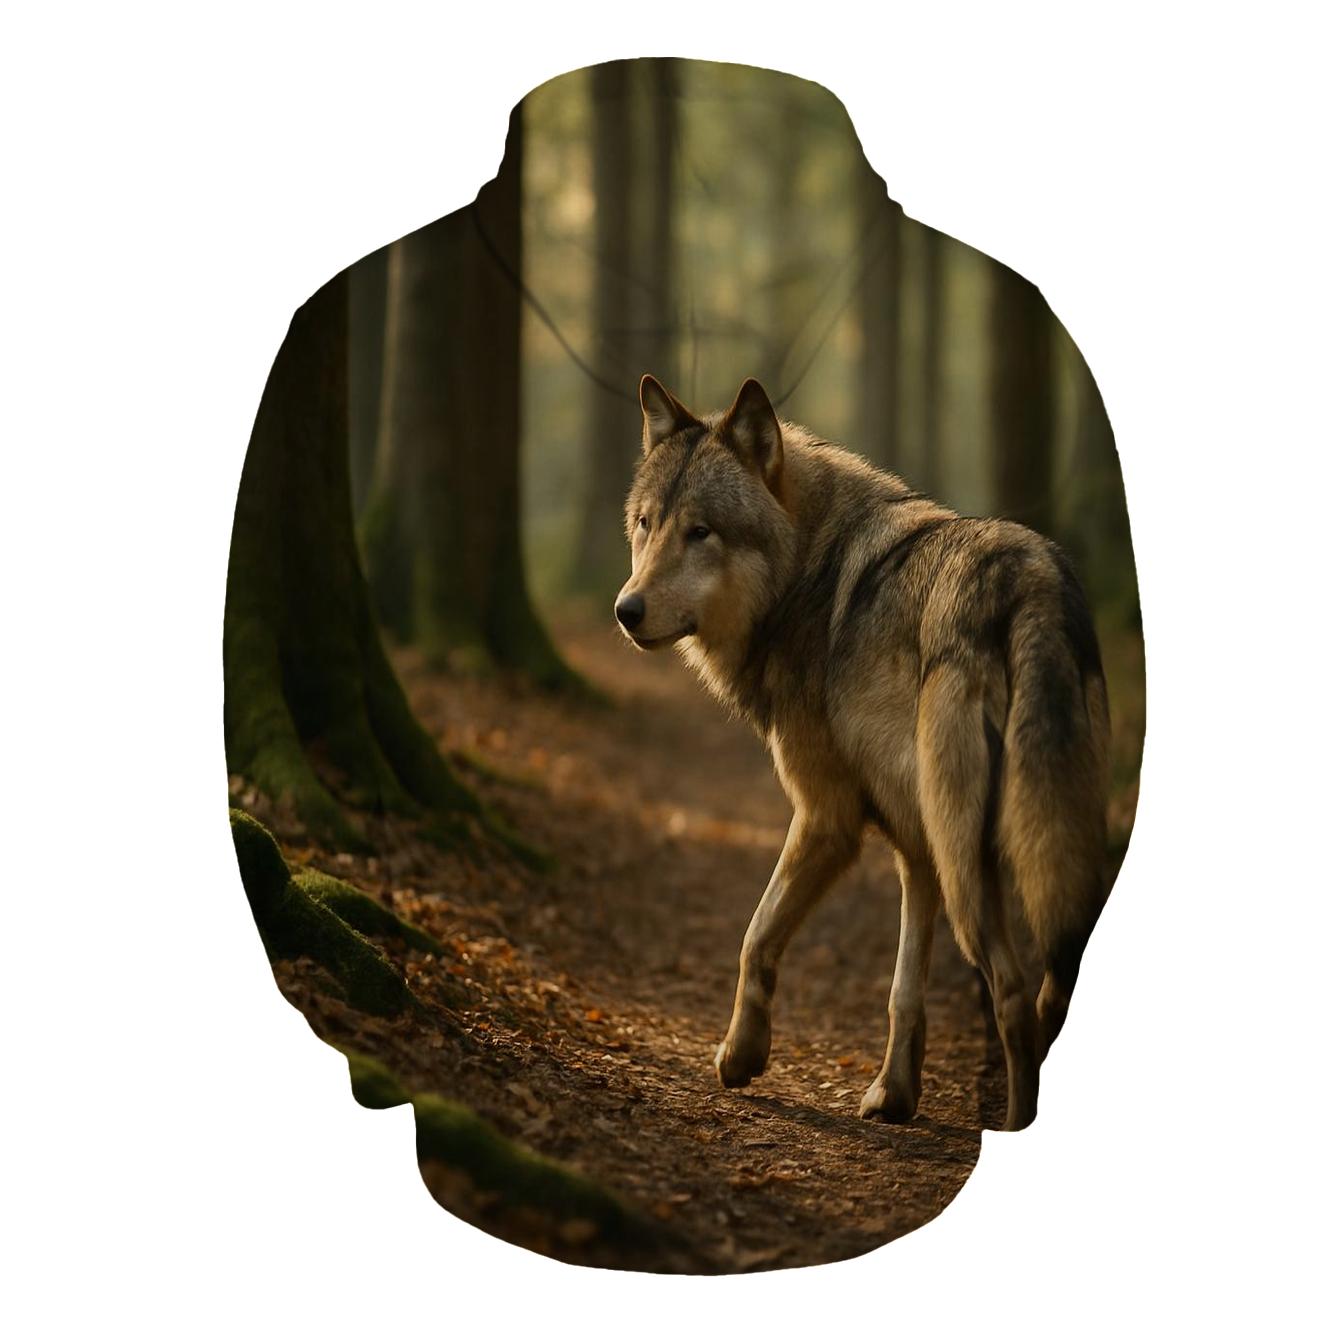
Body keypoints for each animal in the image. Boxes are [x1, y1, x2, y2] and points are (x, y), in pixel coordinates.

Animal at [614, 374, 1110, 1130]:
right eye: (646, 524)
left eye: (701, 532)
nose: (626, 610)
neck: (803, 574)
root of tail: (1028, 584)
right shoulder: (913, 846)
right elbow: (903, 989)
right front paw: (893, 1094)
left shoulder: (827, 818)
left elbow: (754, 936)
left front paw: (741, 1056)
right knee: (1054, 987)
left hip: (970, 870)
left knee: (1012, 991)